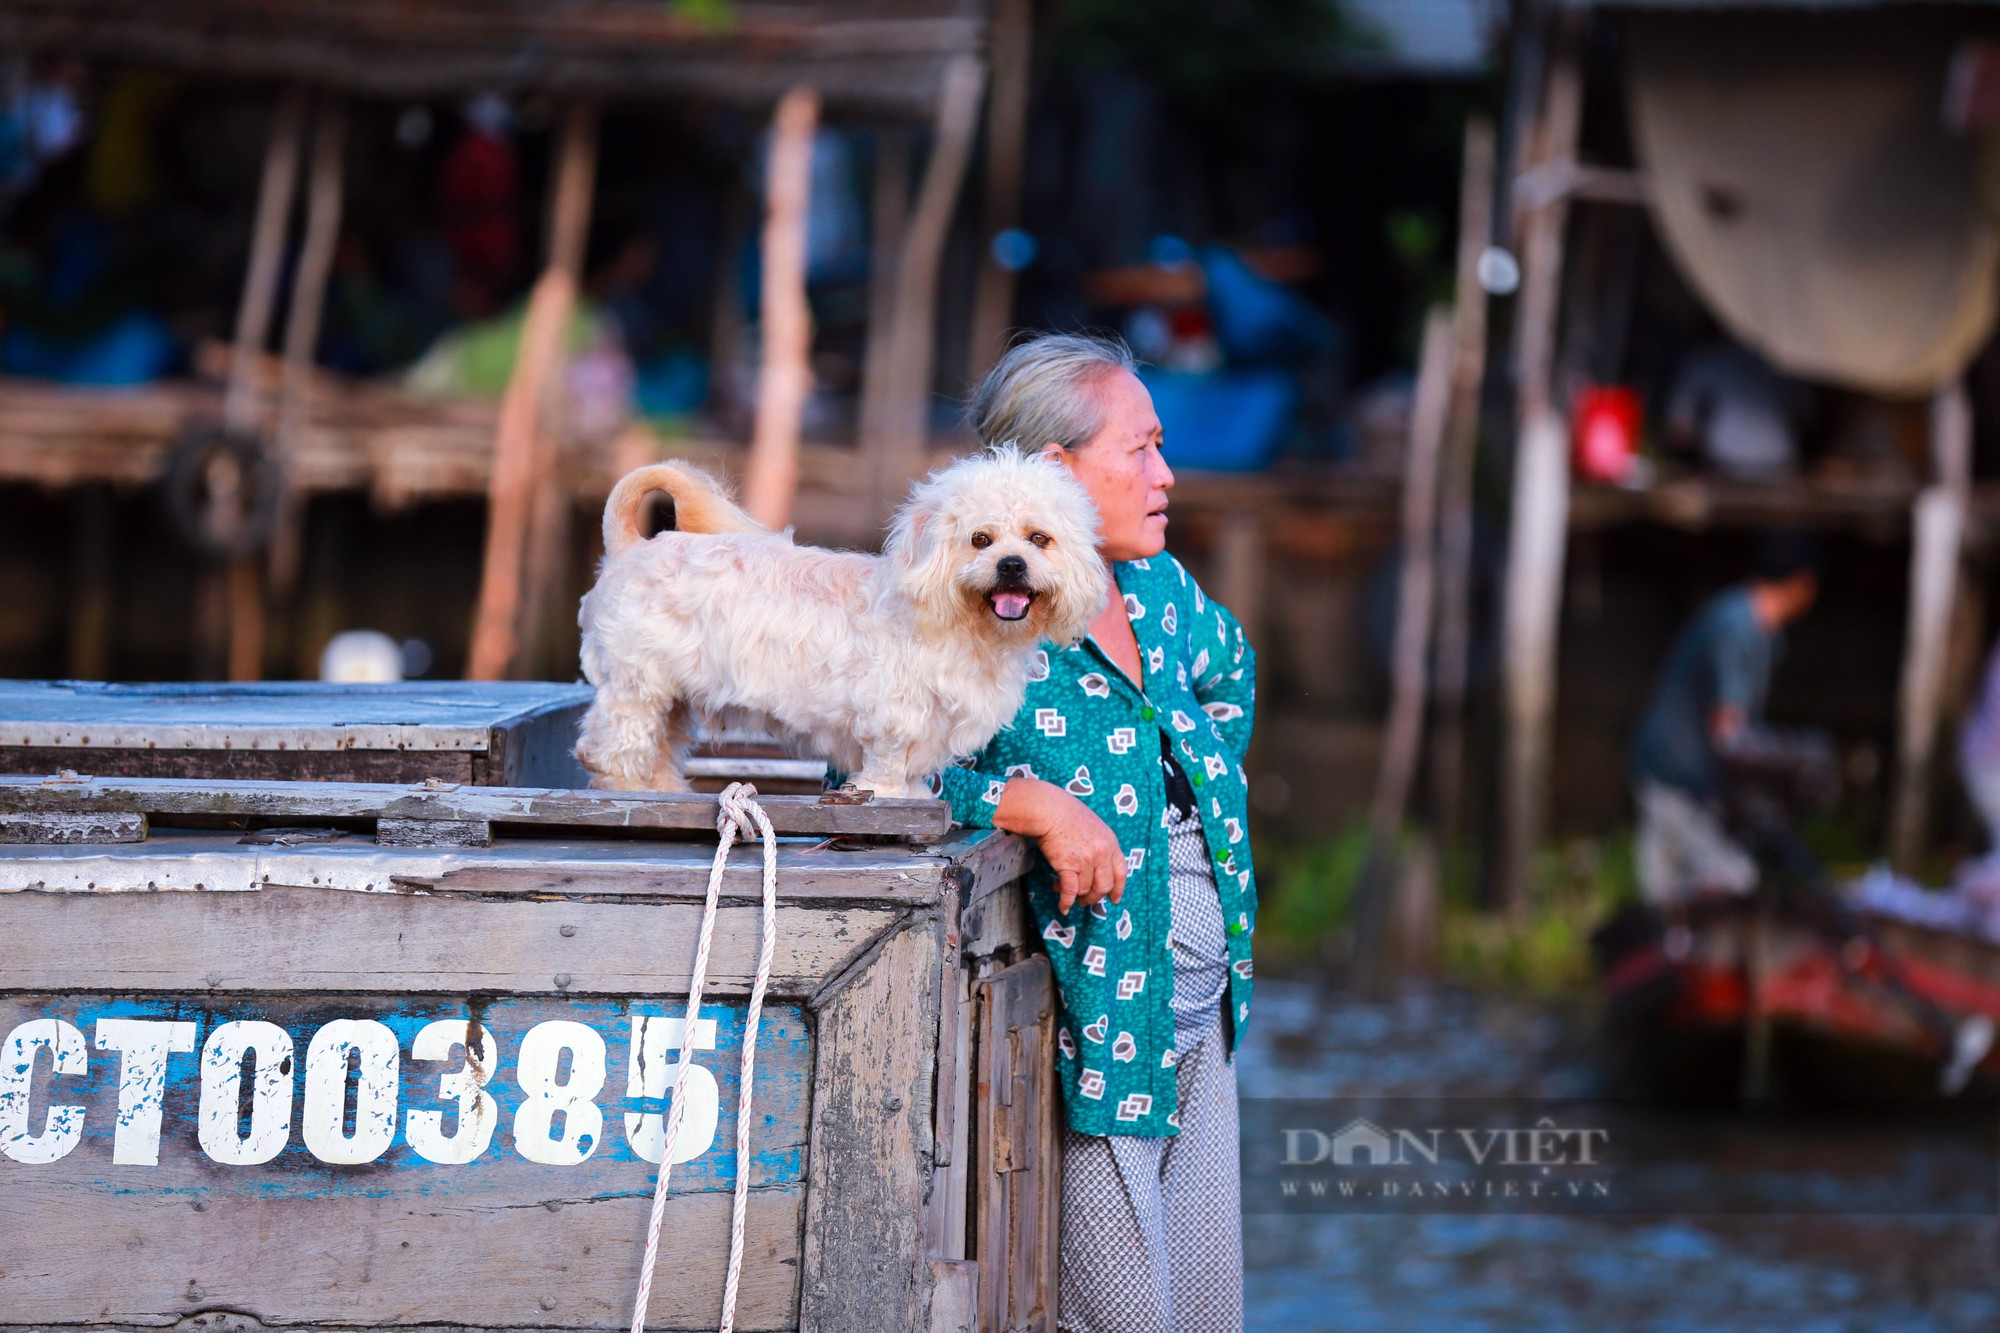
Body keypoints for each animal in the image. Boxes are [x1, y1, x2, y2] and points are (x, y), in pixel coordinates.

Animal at [576, 446, 1112, 800]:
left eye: (1039, 538)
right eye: (981, 539)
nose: (1012, 564)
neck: (963, 625)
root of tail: (632, 546)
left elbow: (913, 771)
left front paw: (912, 796)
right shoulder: (892, 717)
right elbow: (887, 763)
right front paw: (885, 794)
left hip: (674, 699)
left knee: (661, 747)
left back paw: (662, 789)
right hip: (636, 687)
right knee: (610, 745)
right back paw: (623, 785)